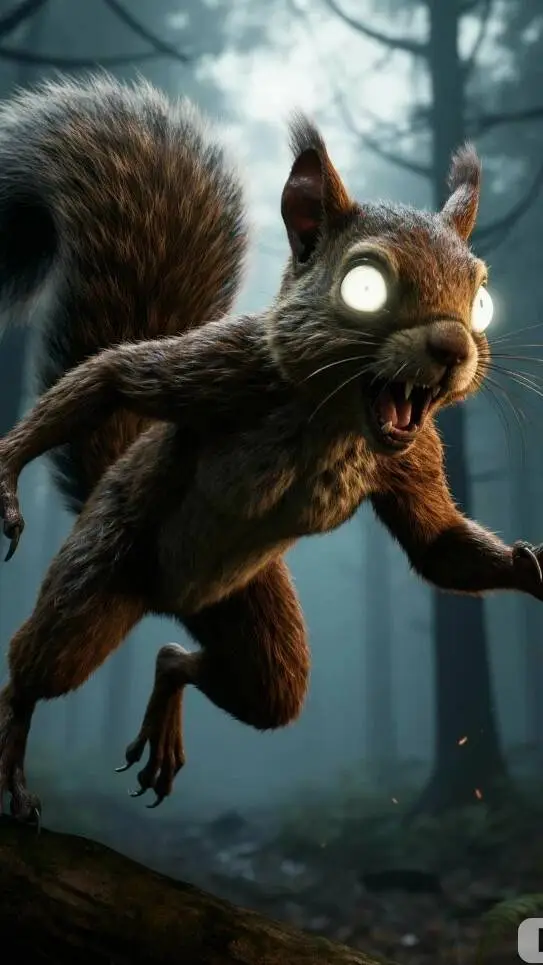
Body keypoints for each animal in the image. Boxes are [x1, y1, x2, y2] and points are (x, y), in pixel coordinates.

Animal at [0, 74, 542, 823]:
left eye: (482, 301)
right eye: (364, 285)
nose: (454, 349)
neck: (338, 417)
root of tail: (167, 597)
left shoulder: (412, 455)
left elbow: (437, 544)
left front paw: (531, 568)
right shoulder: (228, 368)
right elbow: (115, 374)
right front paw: (4, 473)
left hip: (248, 610)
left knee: (245, 682)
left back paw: (167, 700)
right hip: (101, 567)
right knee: (35, 666)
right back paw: (16, 758)